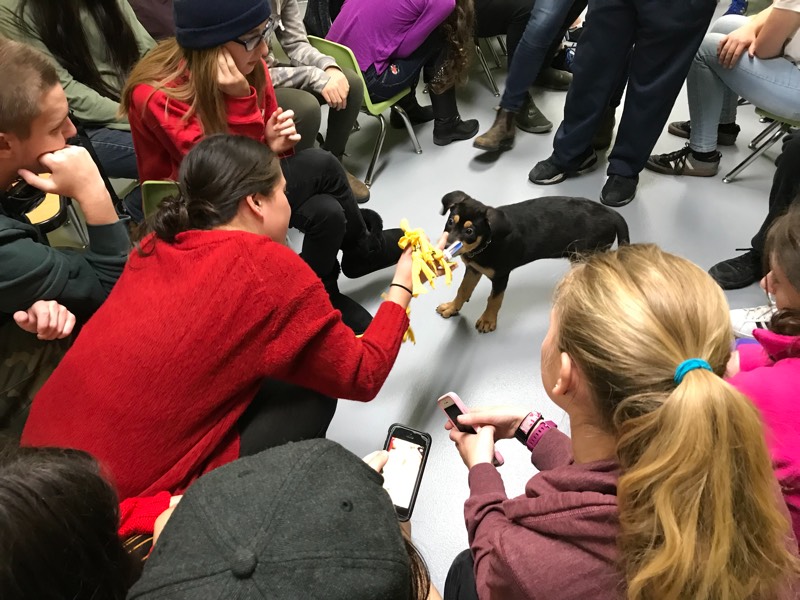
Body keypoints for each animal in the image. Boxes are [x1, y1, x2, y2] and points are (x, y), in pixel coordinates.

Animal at [440, 191, 628, 332]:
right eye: (450, 221)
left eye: (469, 231)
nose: (445, 247)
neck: (486, 243)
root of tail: (613, 213)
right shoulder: (473, 269)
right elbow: (463, 290)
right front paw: (451, 307)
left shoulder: (501, 276)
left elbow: (494, 299)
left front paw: (487, 320)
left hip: (586, 256)